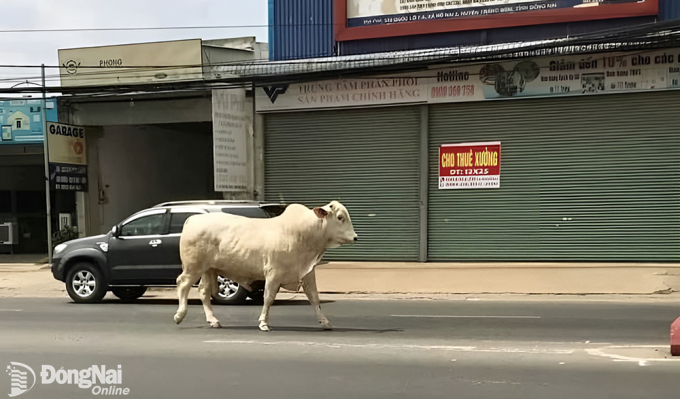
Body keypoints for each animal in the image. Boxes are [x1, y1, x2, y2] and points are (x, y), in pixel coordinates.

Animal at [173, 202, 358, 332]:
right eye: (340, 217)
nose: (355, 237)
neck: (303, 233)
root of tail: (192, 219)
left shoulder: (307, 273)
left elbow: (314, 298)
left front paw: (325, 322)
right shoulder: (273, 273)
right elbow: (268, 298)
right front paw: (263, 323)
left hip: (208, 269)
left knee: (204, 291)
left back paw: (213, 320)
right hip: (193, 267)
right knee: (182, 283)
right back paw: (179, 315)